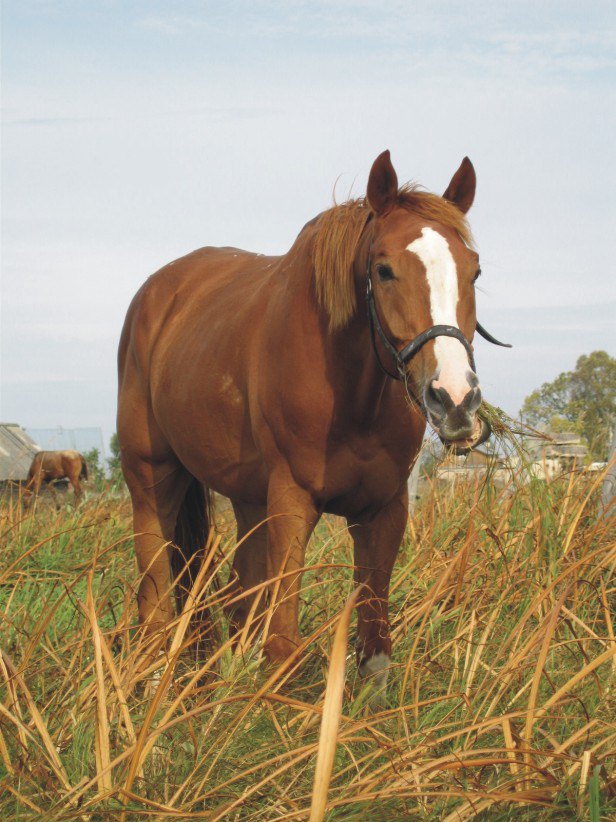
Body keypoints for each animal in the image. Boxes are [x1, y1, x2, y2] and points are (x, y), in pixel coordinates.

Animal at [116, 150, 510, 688]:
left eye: (474, 271)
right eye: (384, 270)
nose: (455, 400)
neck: (353, 401)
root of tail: (157, 293)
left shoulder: (384, 512)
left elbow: (375, 650)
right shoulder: (292, 501)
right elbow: (282, 643)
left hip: (248, 500)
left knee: (239, 594)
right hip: (151, 478)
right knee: (154, 590)